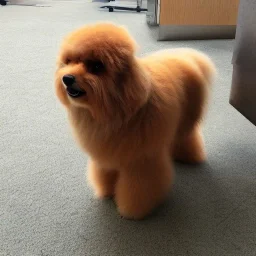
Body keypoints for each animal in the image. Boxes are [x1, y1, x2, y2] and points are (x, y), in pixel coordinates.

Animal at [54, 23, 216, 220]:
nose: (67, 78)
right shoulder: (106, 155)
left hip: (186, 122)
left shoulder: (141, 162)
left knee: (186, 137)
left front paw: (133, 210)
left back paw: (190, 156)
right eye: (69, 61)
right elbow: (105, 174)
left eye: (97, 66)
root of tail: (187, 55)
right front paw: (107, 190)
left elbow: (139, 189)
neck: (113, 114)